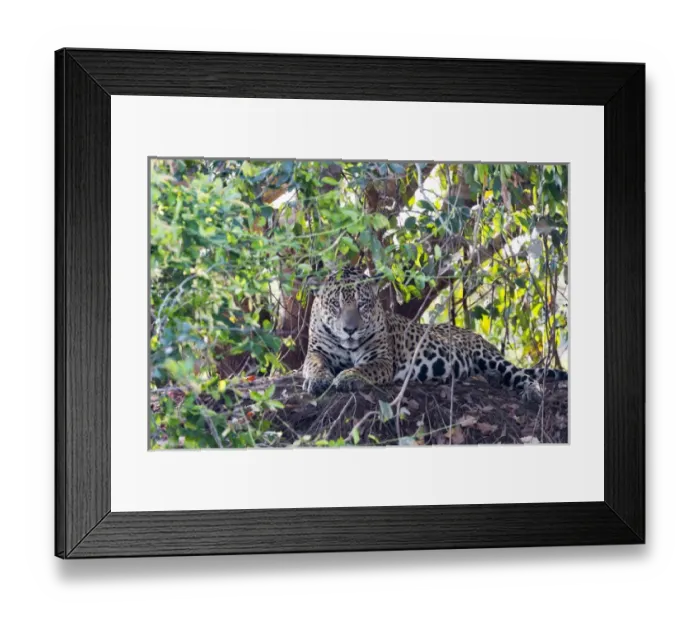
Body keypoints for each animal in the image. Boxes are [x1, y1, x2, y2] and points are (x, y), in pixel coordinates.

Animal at [302, 265, 567, 401]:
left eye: (362, 304)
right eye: (335, 304)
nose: (349, 330)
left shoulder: (381, 359)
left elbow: (365, 368)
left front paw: (347, 377)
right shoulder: (316, 351)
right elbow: (314, 364)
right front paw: (318, 379)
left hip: (488, 355)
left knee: (520, 375)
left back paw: (533, 392)